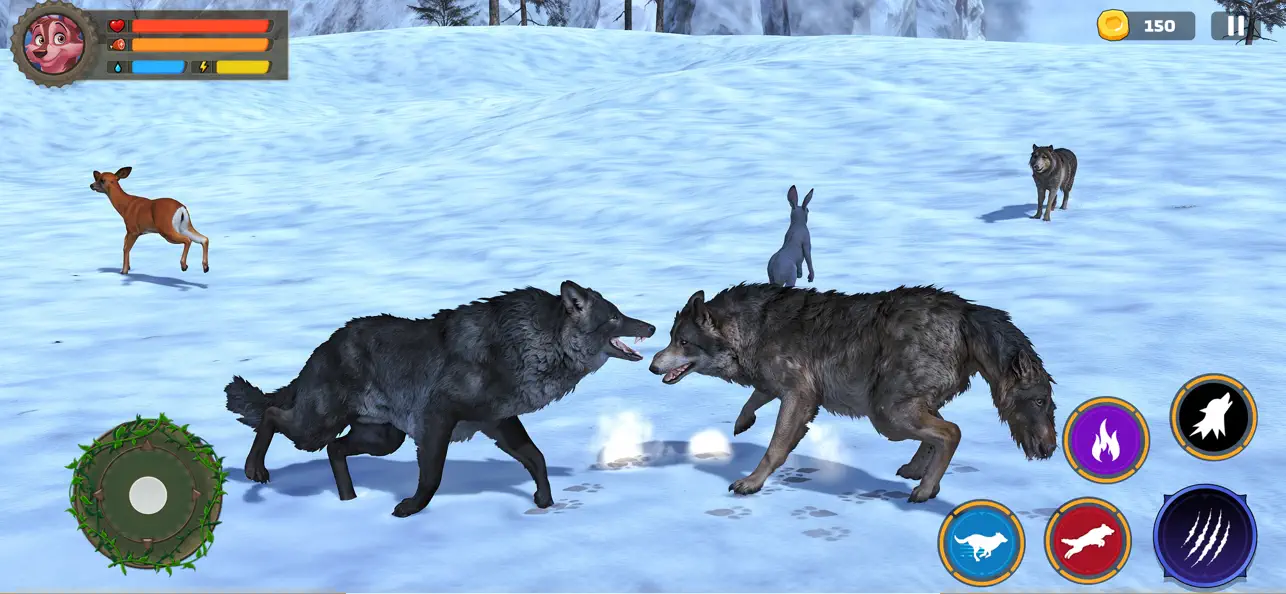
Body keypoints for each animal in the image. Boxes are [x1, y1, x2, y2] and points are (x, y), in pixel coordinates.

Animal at [225, 281, 655, 517]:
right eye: (614, 317)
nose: (651, 327)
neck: (529, 344)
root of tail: (322, 347)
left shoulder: (498, 422)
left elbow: (537, 458)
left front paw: (545, 503)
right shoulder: (437, 420)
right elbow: (432, 477)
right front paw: (409, 509)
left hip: (382, 439)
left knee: (335, 449)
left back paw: (349, 501)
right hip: (317, 427)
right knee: (274, 415)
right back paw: (254, 471)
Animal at [648, 283, 1056, 503]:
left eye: (683, 342)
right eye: (671, 338)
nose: (652, 366)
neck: (754, 328)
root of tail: (966, 310)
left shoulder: (800, 396)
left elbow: (775, 448)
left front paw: (752, 482)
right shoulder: (779, 387)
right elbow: (756, 397)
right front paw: (742, 421)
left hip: (887, 414)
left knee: (951, 432)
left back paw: (925, 489)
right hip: (897, 409)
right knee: (940, 429)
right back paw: (916, 472)